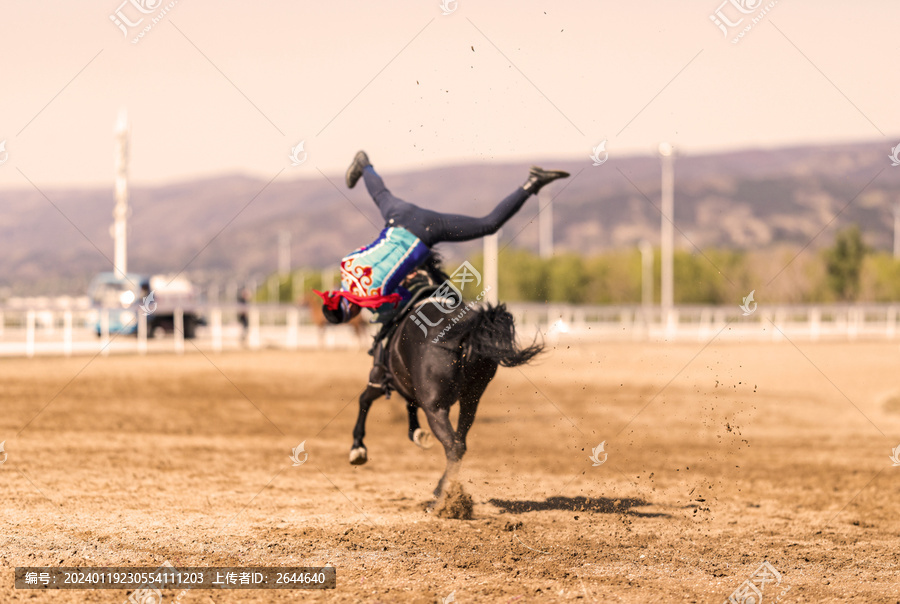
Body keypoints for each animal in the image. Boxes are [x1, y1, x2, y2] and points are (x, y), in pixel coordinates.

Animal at [346, 258, 540, 498]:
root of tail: (464, 334)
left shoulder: (380, 379)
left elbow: (364, 400)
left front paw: (358, 449)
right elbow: (409, 405)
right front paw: (418, 434)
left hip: (435, 409)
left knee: (453, 446)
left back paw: (442, 493)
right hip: (470, 401)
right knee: (460, 443)